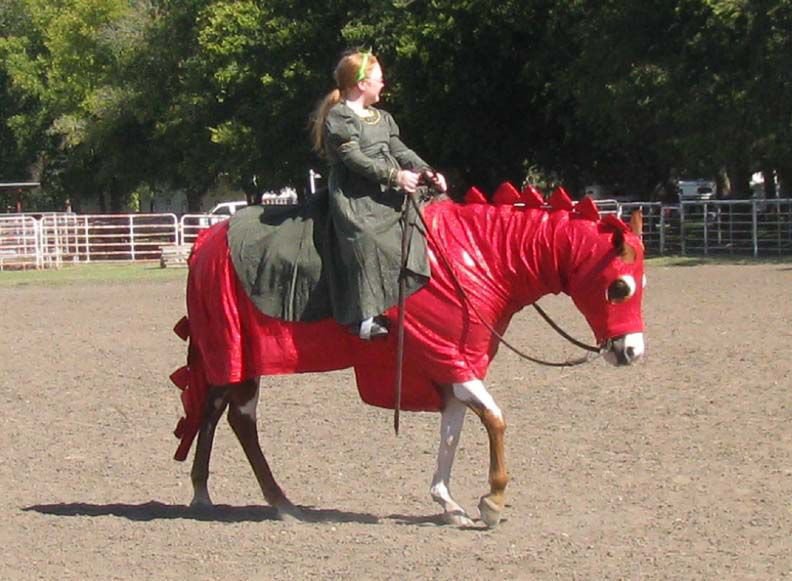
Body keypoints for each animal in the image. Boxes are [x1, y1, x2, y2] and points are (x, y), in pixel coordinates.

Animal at [170, 184, 648, 528]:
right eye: (619, 286)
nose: (631, 351)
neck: (473, 256)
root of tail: (207, 240)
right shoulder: (448, 359)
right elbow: (495, 419)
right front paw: (492, 500)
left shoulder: (454, 366)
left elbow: (453, 431)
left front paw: (449, 503)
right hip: (235, 354)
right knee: (239, 420)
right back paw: (278, 503)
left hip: (230, 360)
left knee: (215, 412)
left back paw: (206, 494)